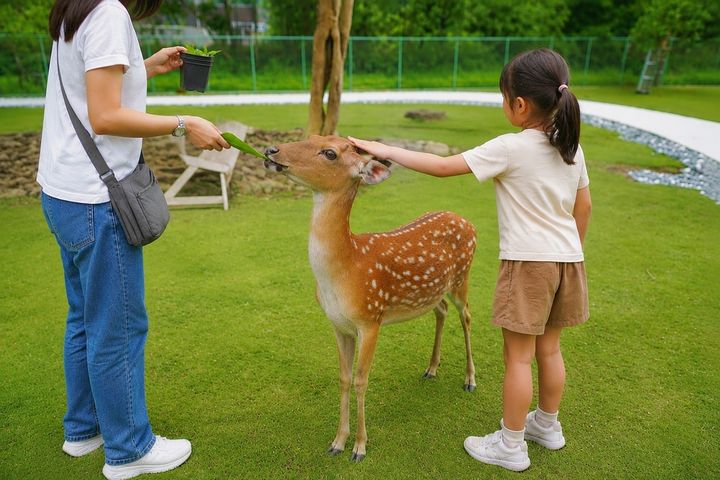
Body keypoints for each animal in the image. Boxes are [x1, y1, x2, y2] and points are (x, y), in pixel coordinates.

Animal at [264, 135, 477, 462]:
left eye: (330, 153)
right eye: (313, 136)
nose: (271, 150)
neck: (345, 270)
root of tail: (470, 223)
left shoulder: (371, 318)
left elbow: (361, 380)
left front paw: (360, 447)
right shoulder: (338, 325)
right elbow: (343, 378)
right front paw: (337, 441)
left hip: (462, 278)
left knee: (466, 316)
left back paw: (469, 379)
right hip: (434, 291)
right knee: (440, 310)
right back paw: (431, 369)